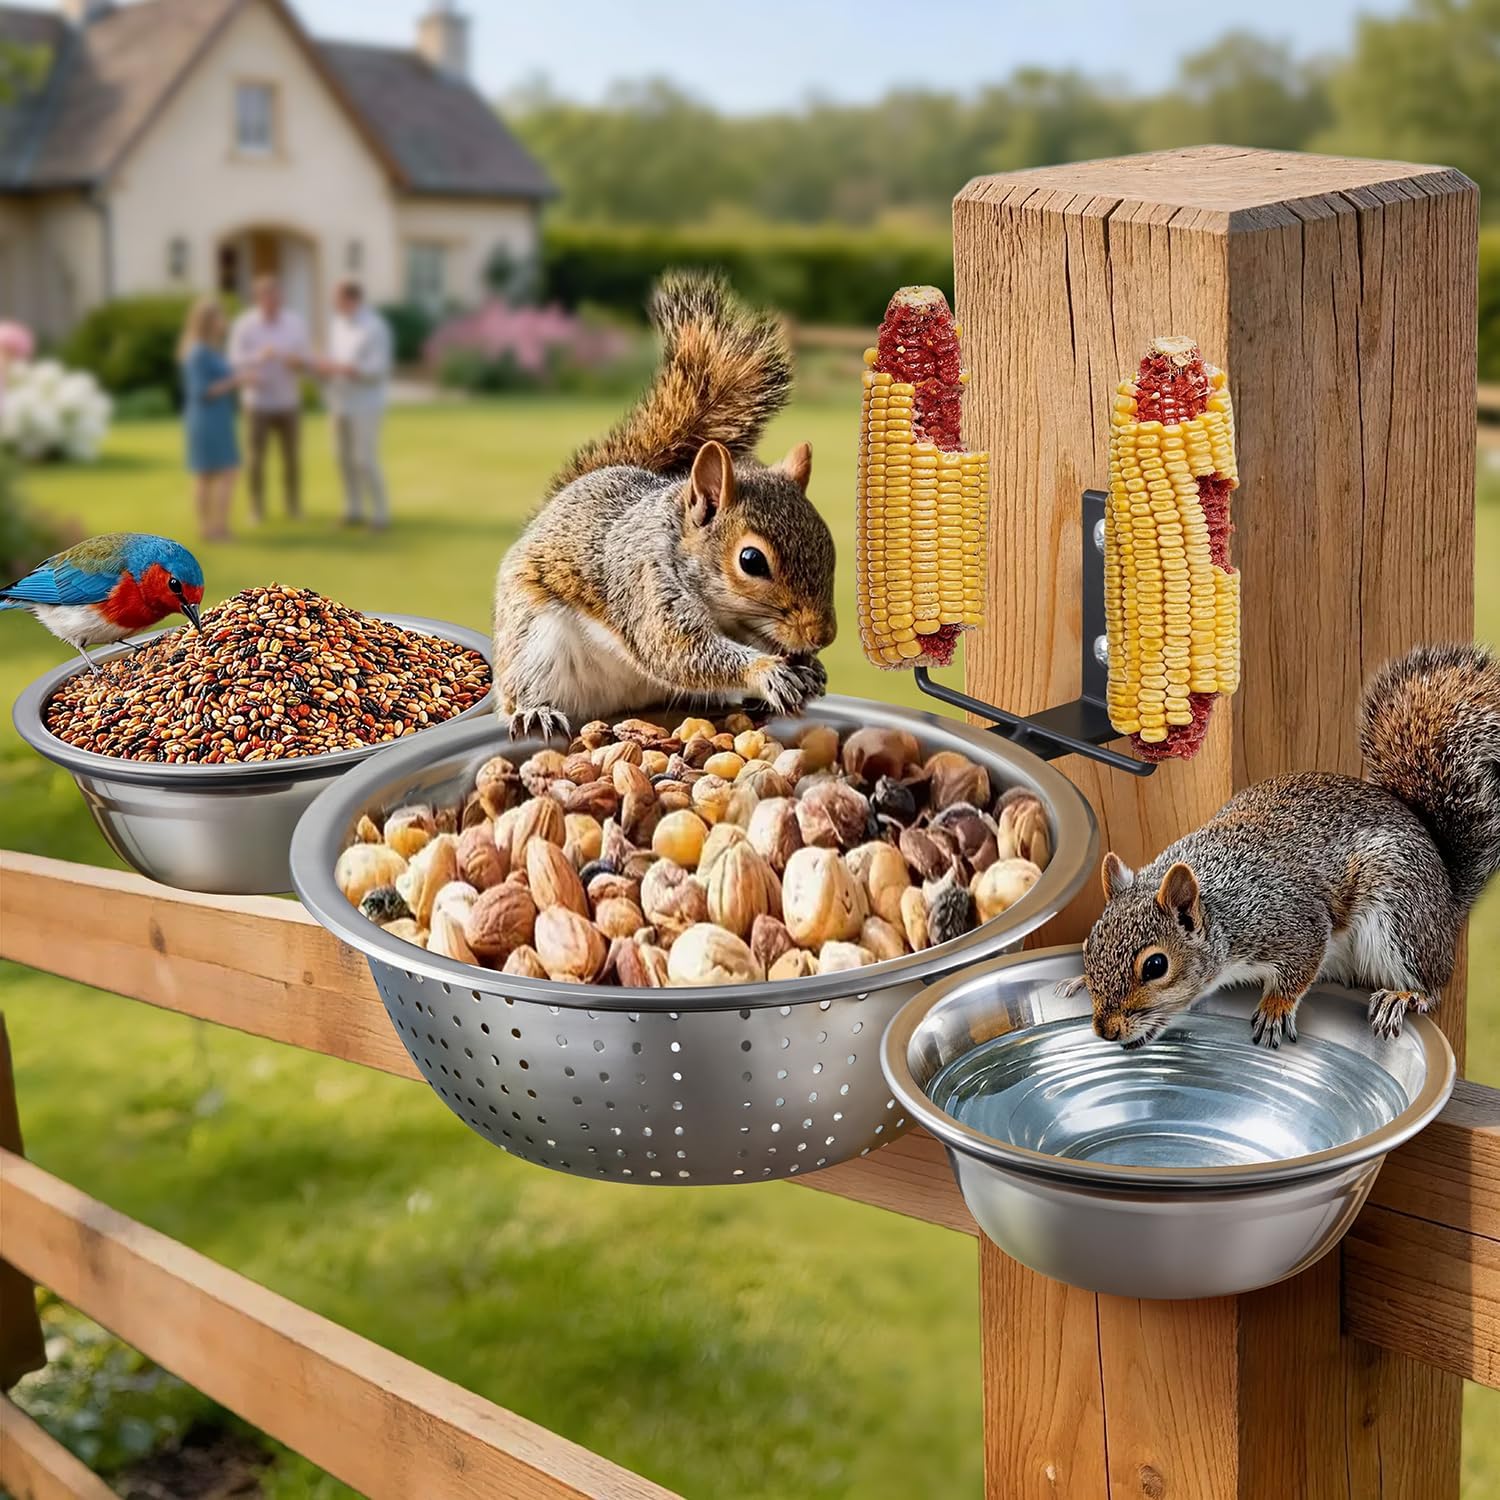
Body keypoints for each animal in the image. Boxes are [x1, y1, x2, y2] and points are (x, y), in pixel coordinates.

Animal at [492, 271, 836, 738]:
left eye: (829, 546)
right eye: (751, 561)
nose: (822, 636)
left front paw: (810, 668)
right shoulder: (646, 589)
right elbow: (681, 652)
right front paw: (767, 671)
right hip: (532, 641)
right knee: (522, 689)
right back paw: (535, 711)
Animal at [1068, 642, 1500, 1050]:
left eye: (1155, 966)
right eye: (1090, 946)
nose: (1105, 1030)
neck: (1221, 909)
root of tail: (1446, 895)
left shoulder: (1293, 922)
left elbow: (1300, 967)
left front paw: (1276, 1009)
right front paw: (1077, 981)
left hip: (1401, 913)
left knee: (1429, 984)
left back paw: (1402, 996)